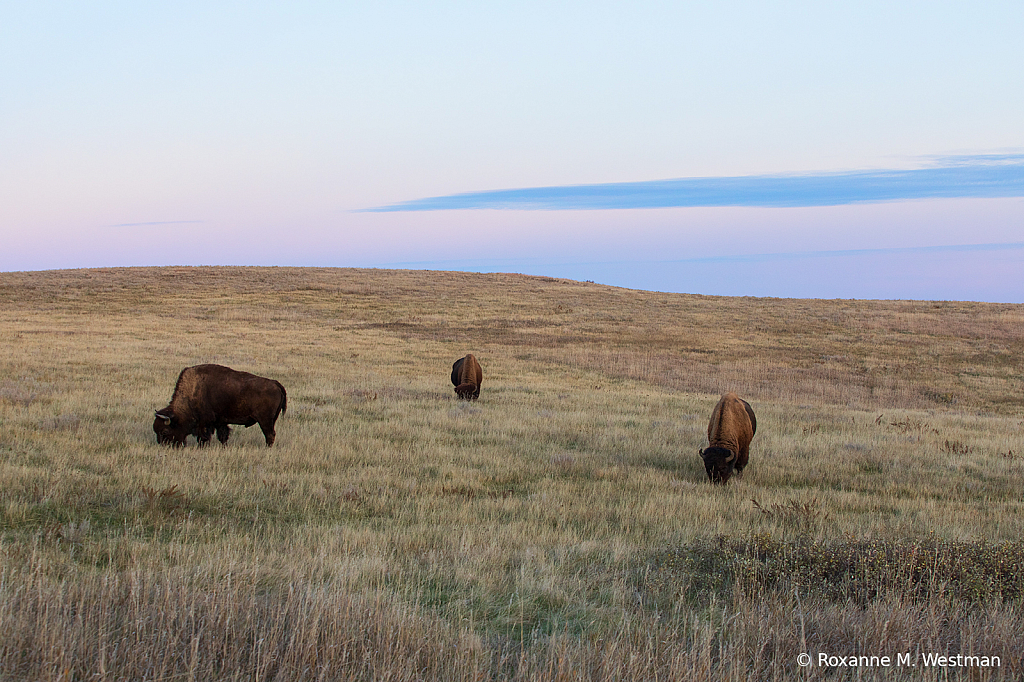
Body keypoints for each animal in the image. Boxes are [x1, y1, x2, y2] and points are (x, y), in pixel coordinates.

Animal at [149, 360, 284, 446]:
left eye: (165, 431)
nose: (164, 445)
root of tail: (275, 383)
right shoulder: (221, 422)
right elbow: (223, 436)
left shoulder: (205, 422)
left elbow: (204, 437)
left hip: (265, 420)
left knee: (270, 435)